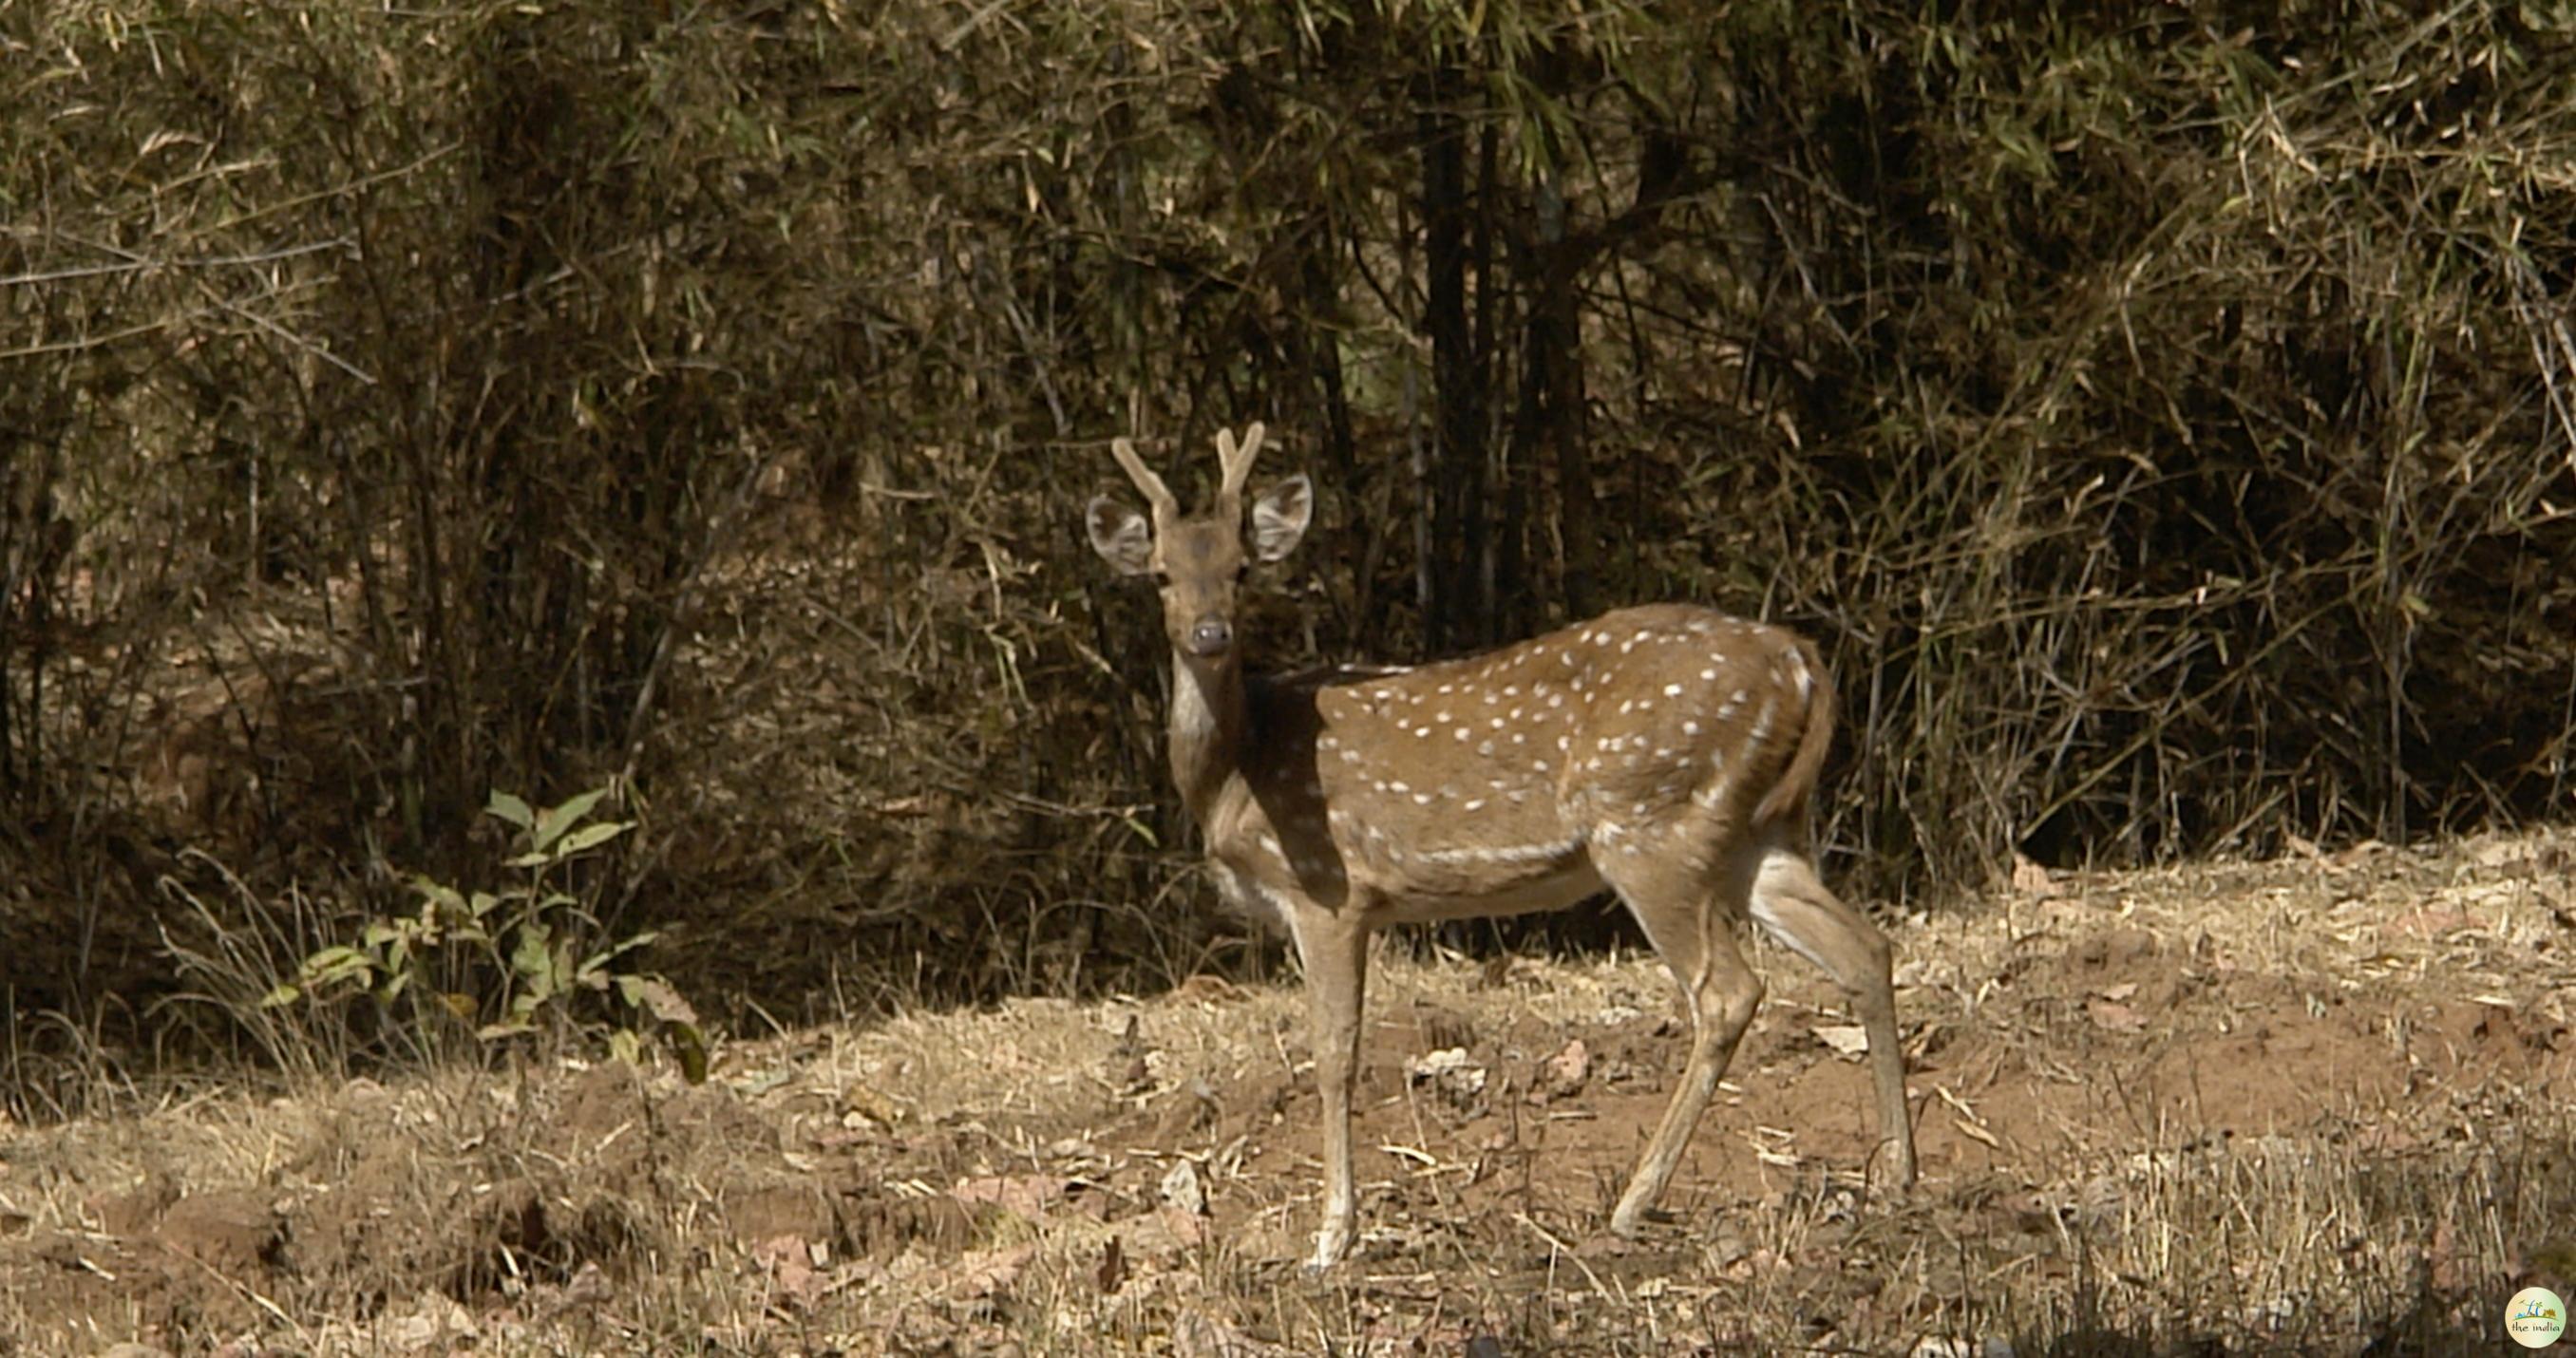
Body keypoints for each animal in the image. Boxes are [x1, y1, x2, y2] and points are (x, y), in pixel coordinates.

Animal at [1087, 423, 1916, 1262]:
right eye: (1161, 574)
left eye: (1241, 568)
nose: (1209, 634)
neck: (1237, 768)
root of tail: (1800, 662)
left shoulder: (1327, 888)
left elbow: (1335, 1054)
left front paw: (1331, 1238)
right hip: (1756, 832)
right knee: (1863, 948)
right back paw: (1895, 1174)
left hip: (1652, 822)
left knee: (1728, 992)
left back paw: (1633, 1203)